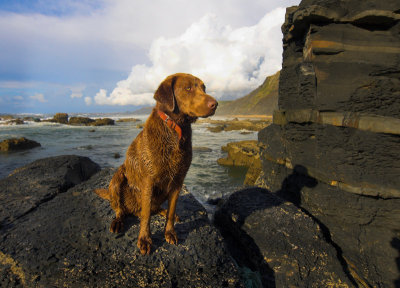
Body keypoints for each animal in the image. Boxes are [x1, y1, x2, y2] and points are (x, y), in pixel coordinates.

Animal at [95, 73, 217, 254]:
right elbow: (146, 216)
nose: (215, 104)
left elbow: (171, 211)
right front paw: (145, 240)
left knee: (156, 208)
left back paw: (165, 212)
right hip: (117, 179)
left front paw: (170, 232)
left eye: (204, 88)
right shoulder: (148, 181)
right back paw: (118, 221)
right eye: (188, 88)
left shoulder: (177, 182)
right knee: (121, 209)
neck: (175, 129)